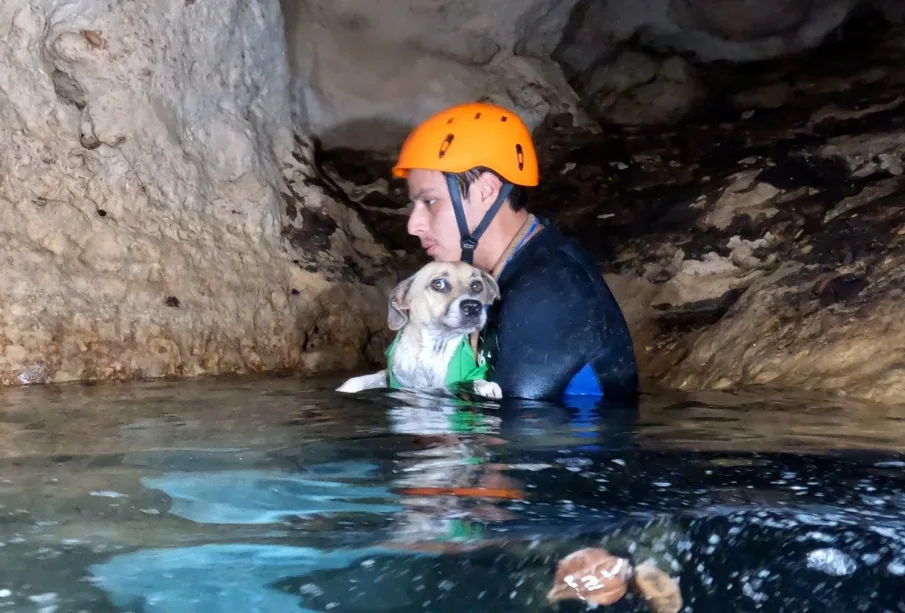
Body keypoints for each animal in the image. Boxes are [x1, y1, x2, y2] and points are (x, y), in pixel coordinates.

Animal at [336, 260, 502, 400]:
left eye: (477, 285)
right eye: (438, 284)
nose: (473, 307)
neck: (434, 352)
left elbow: (477, 379)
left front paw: (487, 386)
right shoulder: (391, 377)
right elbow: (360, 380)